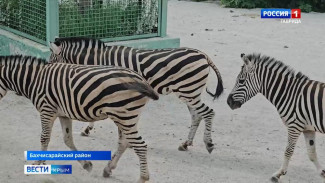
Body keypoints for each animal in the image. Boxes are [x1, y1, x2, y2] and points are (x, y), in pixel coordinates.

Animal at [0, 55, 157, 182]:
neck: (34, 80)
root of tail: (141, 79)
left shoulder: (47, 110)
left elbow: (44, 138)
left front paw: (38, 163)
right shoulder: (63, 114)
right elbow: (68, 140)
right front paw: (86, 164)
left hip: (124, 116)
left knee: (140, 146)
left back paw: (142, 178)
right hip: (126, 117)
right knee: (124, 143)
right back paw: (108, 169)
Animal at [48, 36, 223, 153]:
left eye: (52, 59)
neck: (99, 60)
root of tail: (203, 55)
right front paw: (88, 129)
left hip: (188, 91)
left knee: (208, 112)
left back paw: (208, 143)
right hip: (190, 93)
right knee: (196, 115)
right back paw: (186, 143)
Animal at [227, 52, 324, 182]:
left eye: (241, 81)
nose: (228, 102)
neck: (289, 93)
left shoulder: (294, 126)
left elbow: (288, 151)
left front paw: (278, 174)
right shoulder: (308, 129)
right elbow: (312, 153)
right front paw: (322, 173)